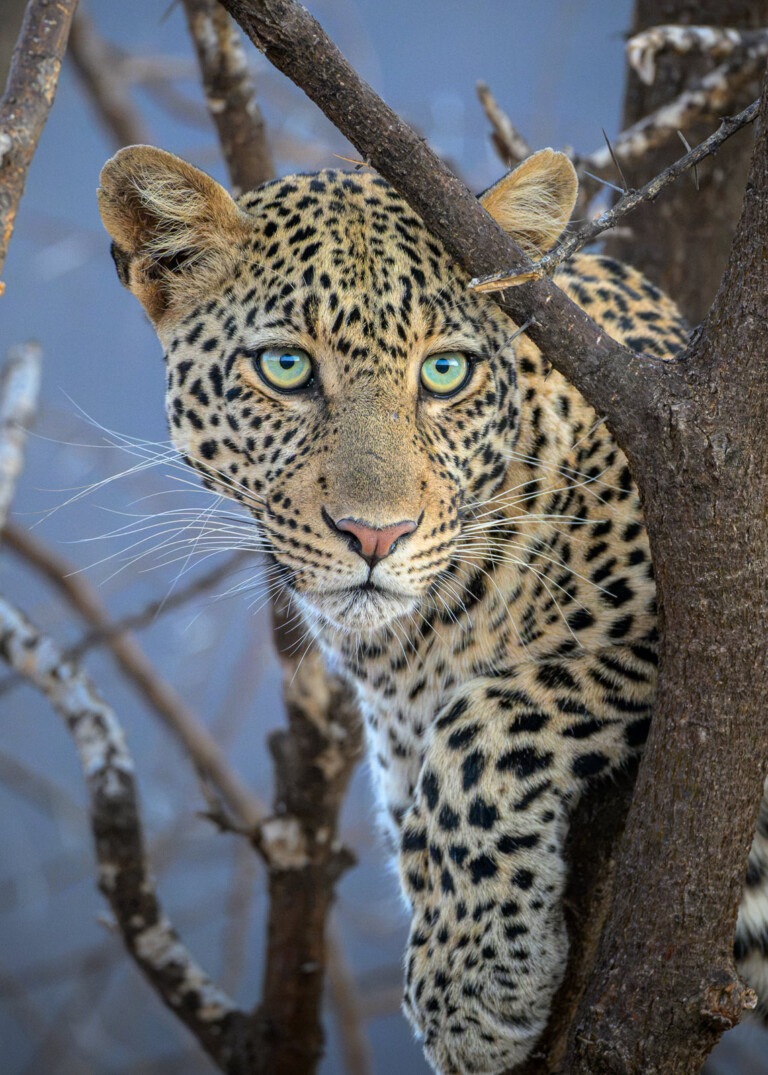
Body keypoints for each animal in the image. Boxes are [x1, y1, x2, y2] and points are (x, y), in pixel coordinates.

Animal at [98, 144, 768, 1075]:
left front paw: (472, 983)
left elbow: (489, 720)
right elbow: (426, 808)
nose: (375, 535)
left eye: (446, 371)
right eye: (285, 367)